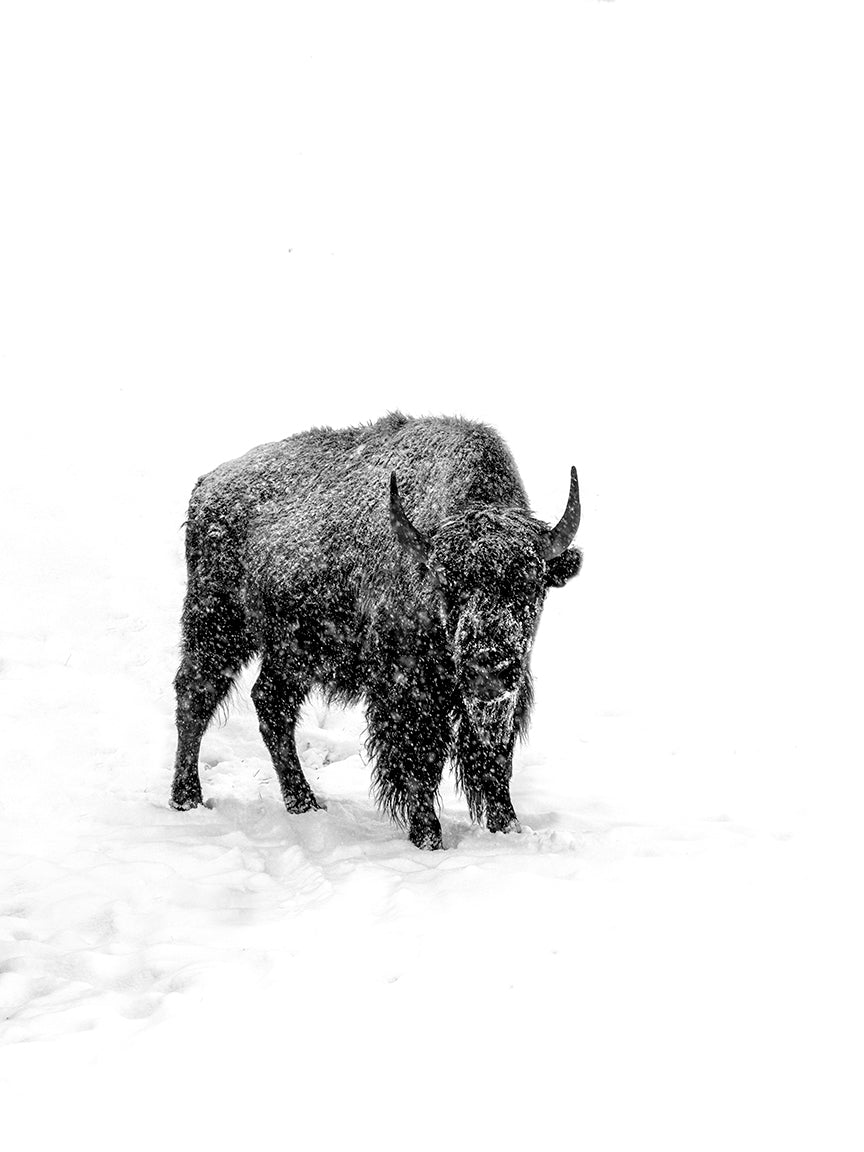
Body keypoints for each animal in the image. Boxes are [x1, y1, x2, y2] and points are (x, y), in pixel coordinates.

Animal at [170, 413, 582, 848]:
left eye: (530, 583)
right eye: (447, 584)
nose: (488, 666)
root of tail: (206, 486)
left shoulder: (506, 694)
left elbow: (493, 760)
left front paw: (508, 828)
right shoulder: (408, 691)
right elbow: (419, 765)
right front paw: (428, 838)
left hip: (292, 652)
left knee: (271, 704)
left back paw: (304, 803)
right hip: (217, 624)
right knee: (196, 696)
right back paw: (187, 798)